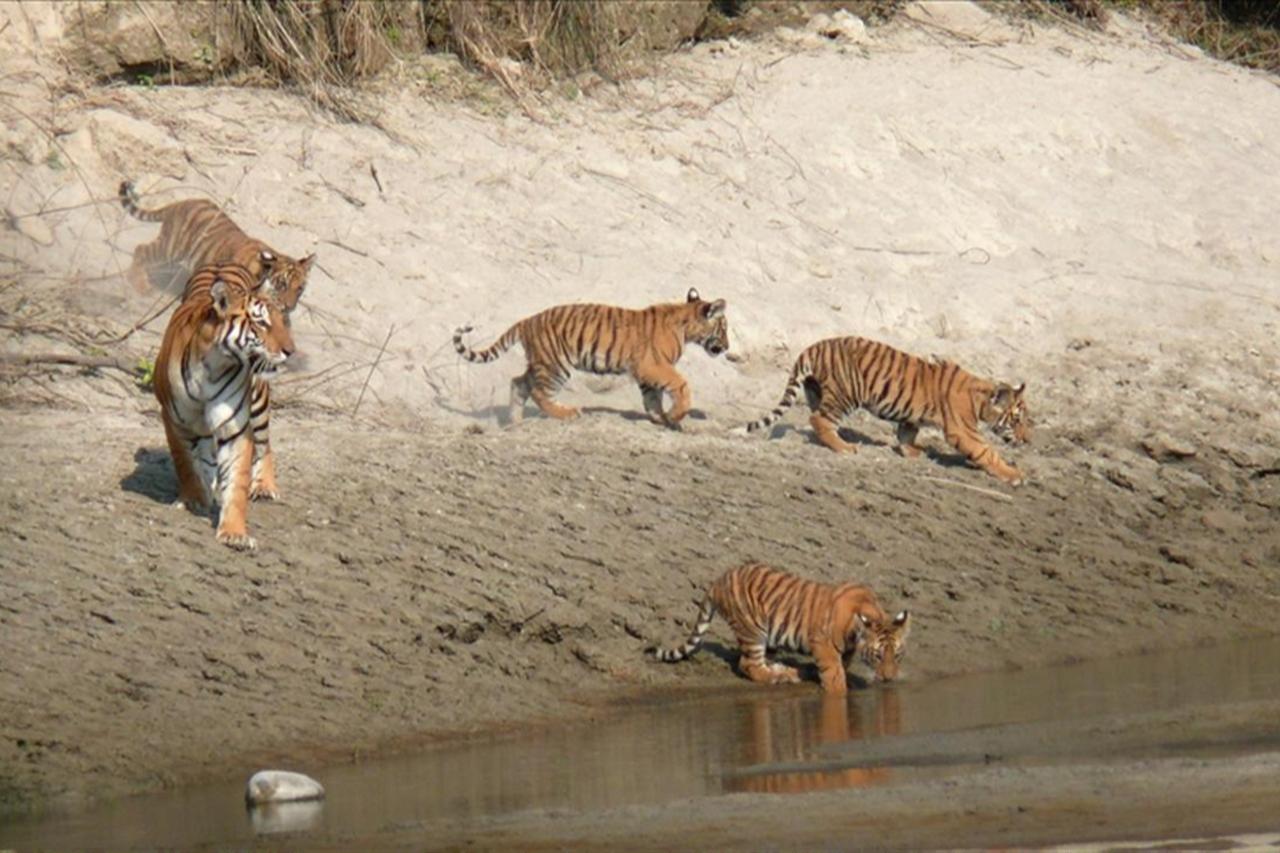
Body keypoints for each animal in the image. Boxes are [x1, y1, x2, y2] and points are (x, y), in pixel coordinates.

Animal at [118, 180, 315, 312]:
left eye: (299, 289)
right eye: (282, 284)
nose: (289, 307)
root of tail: (181, 203)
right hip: (170, 248)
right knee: (141, 250)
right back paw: (139, 284)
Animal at [153, 263, 295, 550]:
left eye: (281, 321)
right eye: (261, 322)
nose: (290, 350)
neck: (214, 365)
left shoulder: (236, 428)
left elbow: (237, 481)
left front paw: (234, 533)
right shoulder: (173, 419)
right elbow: (185, 462)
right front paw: (194, 499)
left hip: (259, 403)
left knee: (265, 445)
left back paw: (264, 486)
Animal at [452, 288, 729, 428]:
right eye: (724, 328)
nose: (726, 347)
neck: (686, 325)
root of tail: (527, 320)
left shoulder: (647, 372)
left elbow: (653, 399)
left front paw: (661, 418)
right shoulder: (654, 365)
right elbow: (681, 386)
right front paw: (675, 416)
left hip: (541, 362)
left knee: (518, 383)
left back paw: (515, 422)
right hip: (556, 366)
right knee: (540, 393)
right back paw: (568, 414)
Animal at [647, 561, 910, 695]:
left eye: (897, 655)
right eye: (878, 656)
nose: (889, 679)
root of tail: (718, 580)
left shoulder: (846, 649)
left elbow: (841, 665)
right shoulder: (822, 642)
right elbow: (833, 672)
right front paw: (839, 689)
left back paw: (786, 671)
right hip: (753, 630)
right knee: (748, 664)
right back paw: (780, 677)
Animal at [745, 336, 1030, 485]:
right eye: (1017, 420)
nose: (1027, 440)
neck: (980, 399)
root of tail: (814, 346)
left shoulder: (912, 415)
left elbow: (906, 433)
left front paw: (912, 451)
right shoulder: (963, 431)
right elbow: (987, 452)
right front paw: (1014, 474)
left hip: (817, 391)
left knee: (817, 419)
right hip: (846, 394)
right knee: (819, 419)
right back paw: (845, 447)